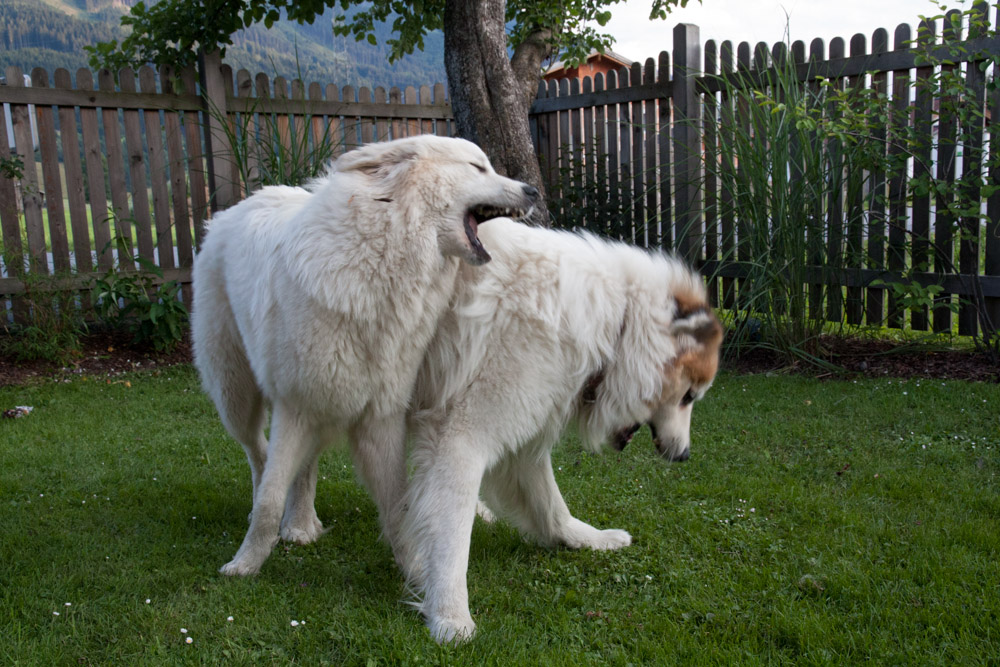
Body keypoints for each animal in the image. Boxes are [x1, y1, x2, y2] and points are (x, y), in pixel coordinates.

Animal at [193, 137, 540, 580]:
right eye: (477, 167)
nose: (532, 191)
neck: (380, 255)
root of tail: (233, 209)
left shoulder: (379, 416)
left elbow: (397, 505)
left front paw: (415, 570)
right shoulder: (294, 406)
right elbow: (270, 497)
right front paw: (245, 564)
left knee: (304, 464)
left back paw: (301, 525)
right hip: (235, 395)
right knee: (258, 455)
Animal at [394, 219, 724, 640]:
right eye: (689, 396)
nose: (684, 455)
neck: (616, 323)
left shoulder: (522, 438)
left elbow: (550, 503)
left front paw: (587, 540)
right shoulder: (461, 437)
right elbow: (451, 535)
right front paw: (450, 615)